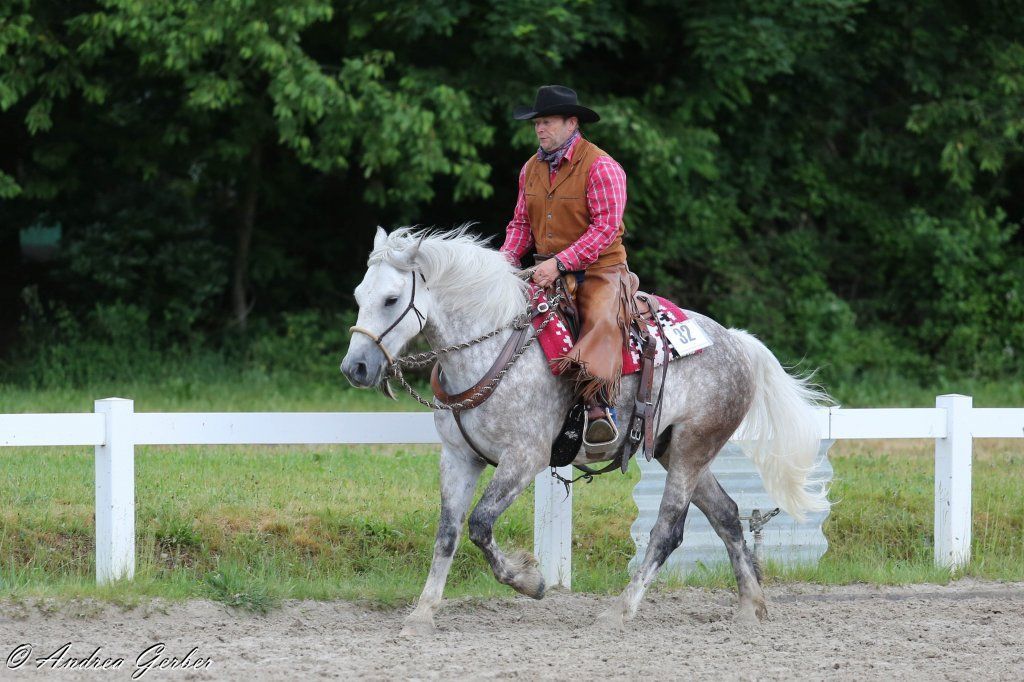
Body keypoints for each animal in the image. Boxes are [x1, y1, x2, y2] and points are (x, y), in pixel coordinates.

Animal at [340, 226, 829, 635]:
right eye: (359, 295)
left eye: (390, 299)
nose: (355, 368)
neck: (490, 349)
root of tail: (735, 342)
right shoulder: (459, 458)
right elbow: (448, 533)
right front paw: (422, 614)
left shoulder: (524, 459)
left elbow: (479, 524)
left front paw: (530, 580)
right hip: (678, 450)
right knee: (726, 515)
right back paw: (750, 606)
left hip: (693, 447)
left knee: (668, 530)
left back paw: (620, 611)